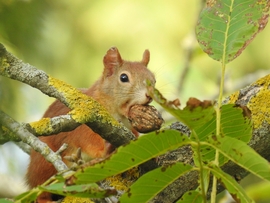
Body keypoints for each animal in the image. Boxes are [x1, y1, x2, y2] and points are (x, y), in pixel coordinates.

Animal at [26, 47, 156, 201]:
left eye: (154, 80)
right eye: (124, 78)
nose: (150, 95)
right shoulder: (85, 125)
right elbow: (89, 143)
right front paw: (105, 150)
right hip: (43, 166)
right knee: (40, 190)